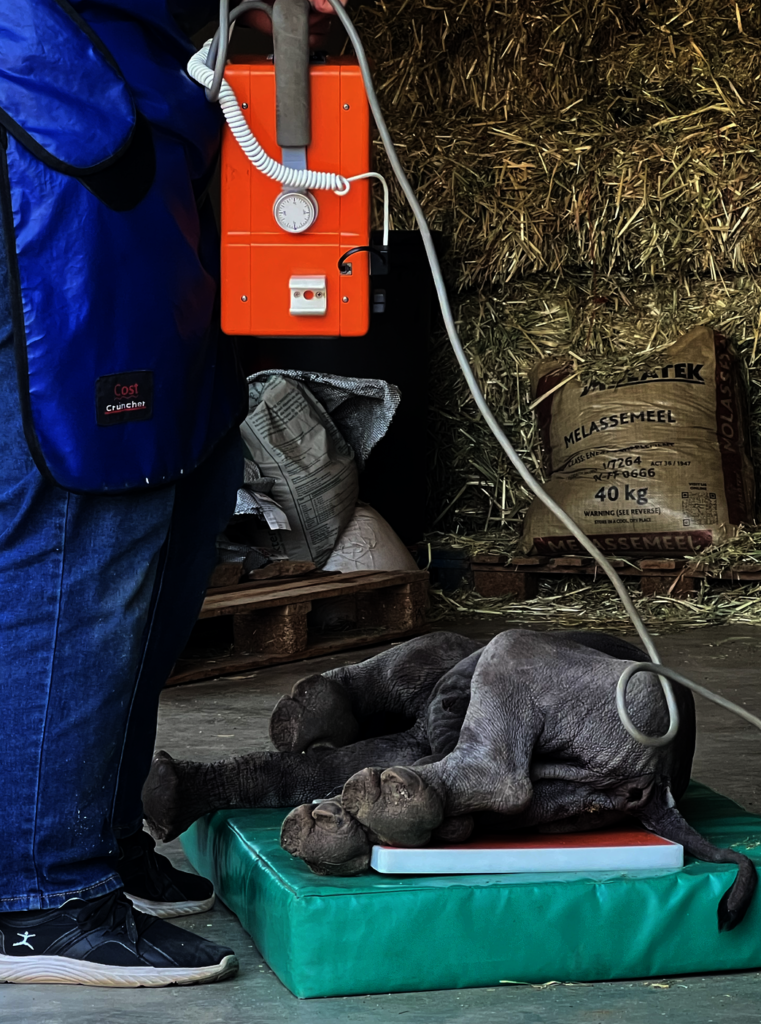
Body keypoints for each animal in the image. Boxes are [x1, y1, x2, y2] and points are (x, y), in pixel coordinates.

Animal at [143, 629, 756, 930]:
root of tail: (660, 782)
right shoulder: (415, 732)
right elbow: (308, 765)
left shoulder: (423, 692)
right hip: (568, 802)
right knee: (492, 803)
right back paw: (356, 822)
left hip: (534, 657)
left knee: (498, 774)